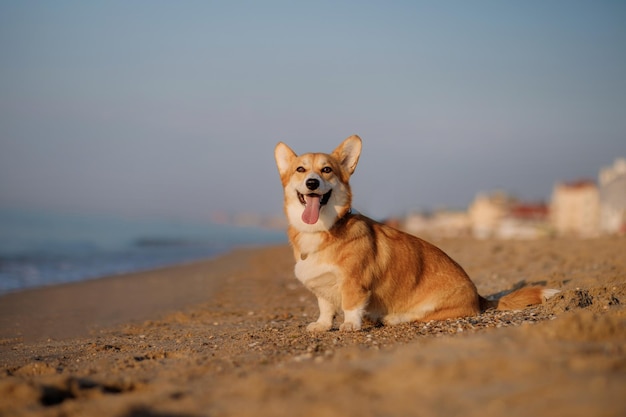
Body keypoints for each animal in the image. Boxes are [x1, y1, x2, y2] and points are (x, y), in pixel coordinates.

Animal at [272, 136, 556, 332]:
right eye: (300, 170)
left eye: (327, 170)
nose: (312, 183)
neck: (323, 229)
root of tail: (480, 298)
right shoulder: (322, 289)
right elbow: (326, 308)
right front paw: (321, 326)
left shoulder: (354, 283)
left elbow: (351, 306)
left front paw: (350, 325)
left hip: (433, 308)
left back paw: (392, 317)